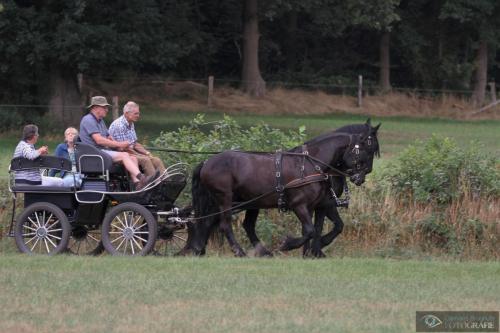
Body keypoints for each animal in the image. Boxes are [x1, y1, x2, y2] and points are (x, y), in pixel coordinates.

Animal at [182, 128, 374, 255]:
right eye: (364, 151)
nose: (360, 178)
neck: (311, 164)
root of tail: (207, 162)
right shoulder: (299, 205)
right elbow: (310, 230)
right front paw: (288, 244)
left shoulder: (314, 206)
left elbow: (314, 229)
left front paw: (312, 250)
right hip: (225, 199)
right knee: (224, 224)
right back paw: (239, 251)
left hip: (245, 201)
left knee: (217, 222)